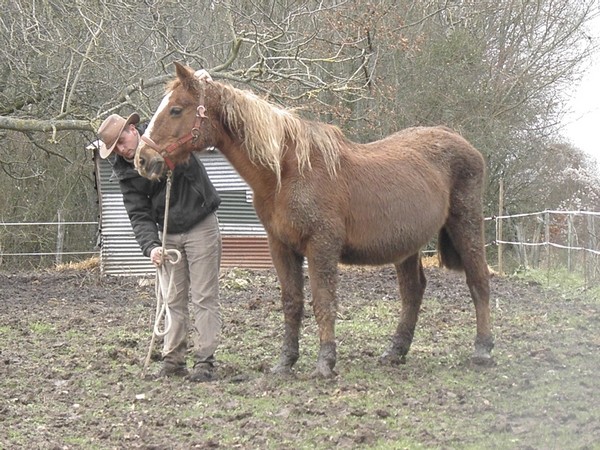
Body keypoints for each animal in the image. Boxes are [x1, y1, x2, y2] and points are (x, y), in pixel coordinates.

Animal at [137, 61, 496, 378]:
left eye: (176, 110)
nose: (143, 159)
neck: (287, 171)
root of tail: (463, 144)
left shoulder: (321, 246)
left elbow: (324, 301)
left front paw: (325, 363)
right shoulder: (281, 247)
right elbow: (292, 303)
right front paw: (286, 362)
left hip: (466, 226)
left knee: (478, 282)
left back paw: (482, 350)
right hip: (406, 246)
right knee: (413, 292)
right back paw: (395, 351)